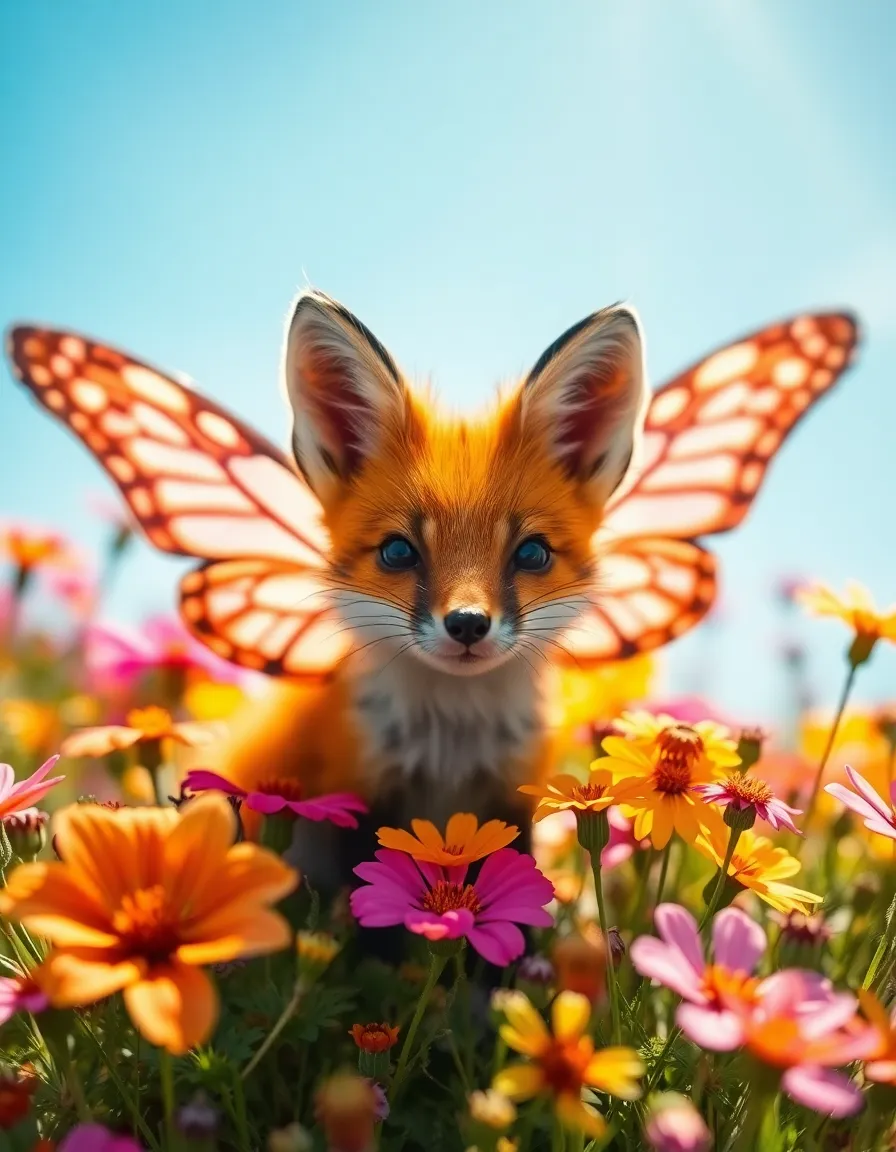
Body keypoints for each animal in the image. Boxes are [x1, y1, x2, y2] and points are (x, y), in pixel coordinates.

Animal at [208, 289, 648, 891]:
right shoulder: (363, 795)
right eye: (399, 552)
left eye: (531, 554)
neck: (450, 749)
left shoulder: (512, 797)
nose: (467, 623)